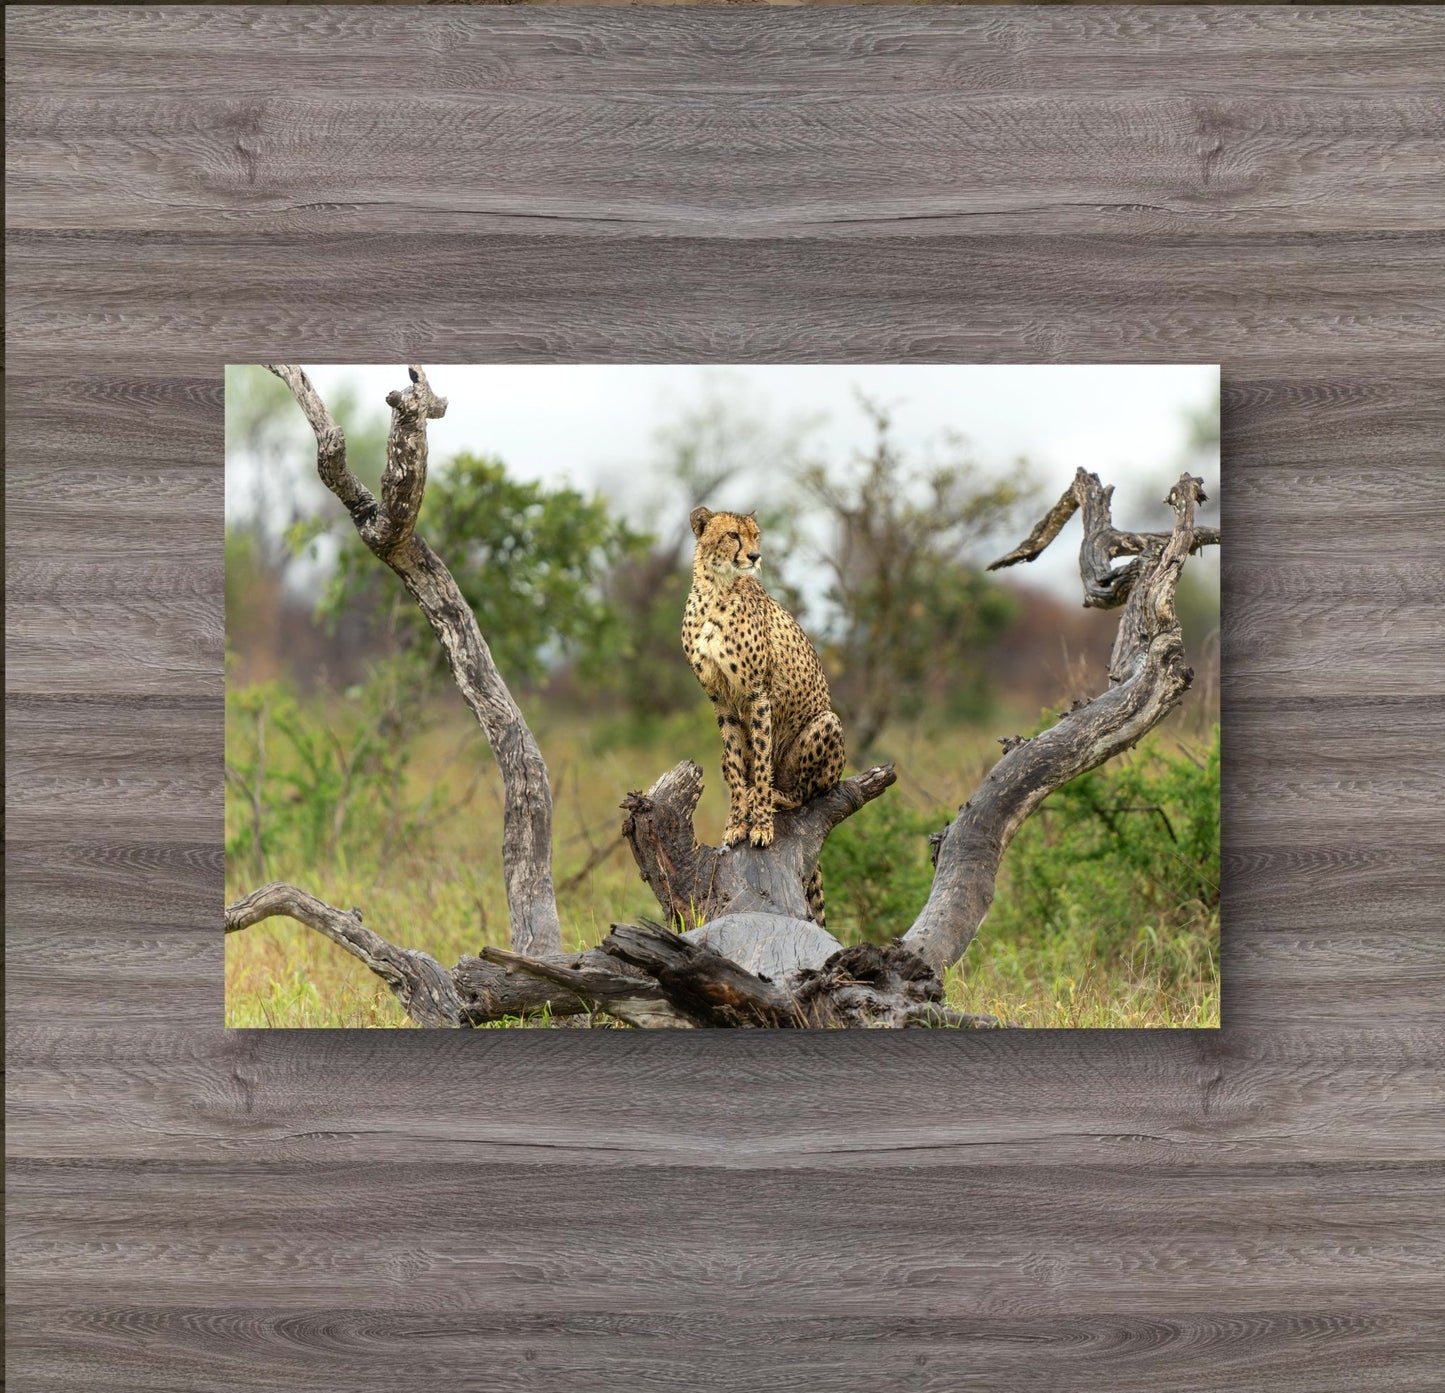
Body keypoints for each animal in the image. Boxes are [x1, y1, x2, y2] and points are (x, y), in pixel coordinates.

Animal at [682, 506, 846, 926]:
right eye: (733, 535)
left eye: (756, 536)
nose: (754, 556)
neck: (716, 590)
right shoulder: (722, 703)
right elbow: (737, 766)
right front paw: (736, 824)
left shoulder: (758, 695)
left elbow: (758, 763)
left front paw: (759, 826)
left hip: (827, 724)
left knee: (807, 793)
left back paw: (774, 795)